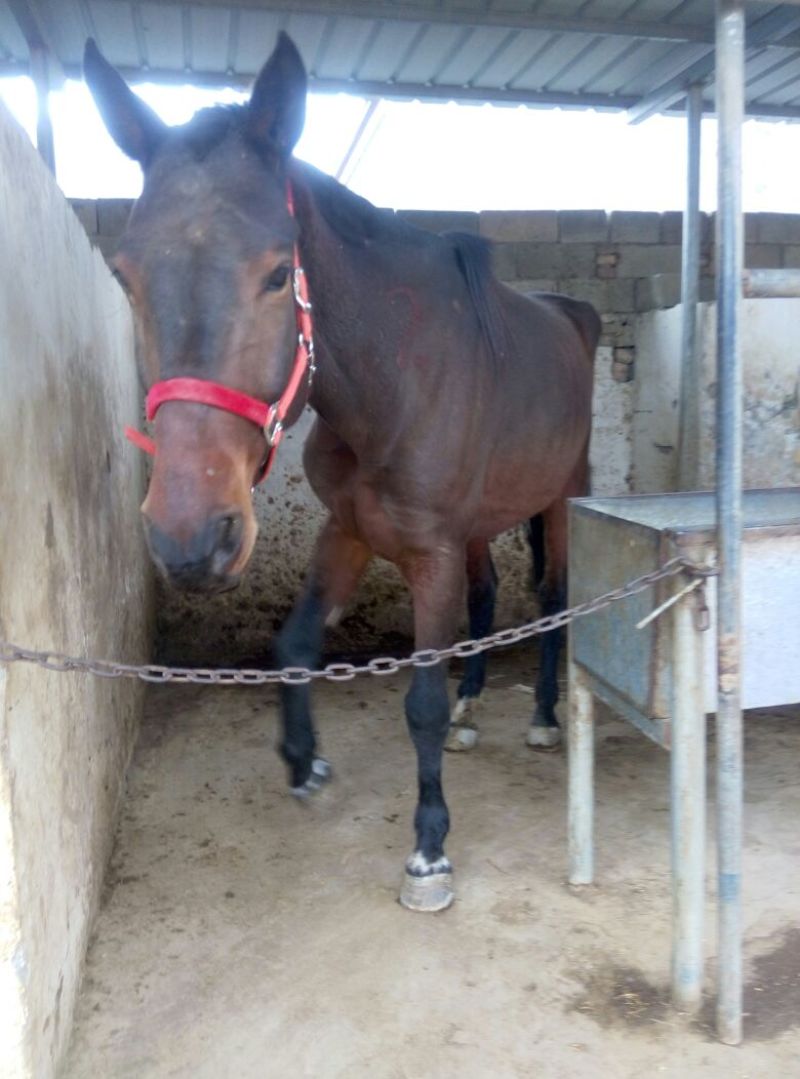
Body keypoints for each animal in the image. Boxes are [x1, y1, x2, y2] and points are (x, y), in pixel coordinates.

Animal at [84, 32, 600, 912]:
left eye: (274, 272)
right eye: (124, 275)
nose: (191, 537)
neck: (395, 384)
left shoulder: (427, 553)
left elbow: (419, 700)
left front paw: (428, 850)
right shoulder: (350, 528)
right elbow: (295, 641)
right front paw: (303, 759)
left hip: (562, 500)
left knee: (551, 597)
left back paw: (540, 718)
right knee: (491, 596)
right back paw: (474, 709)